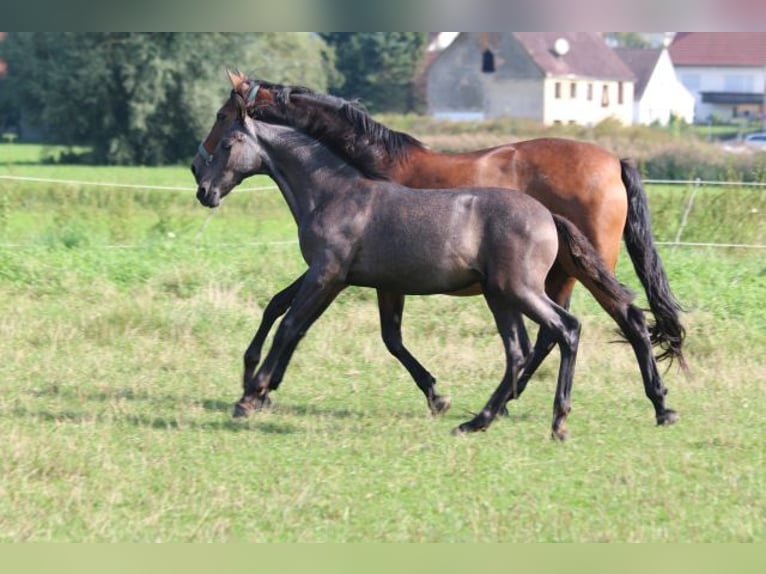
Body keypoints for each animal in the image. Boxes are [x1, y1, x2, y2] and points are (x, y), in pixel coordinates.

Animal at [192, 72, 684, 430]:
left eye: (223, 116)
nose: (199, 177)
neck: (352, 177)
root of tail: (615, 161)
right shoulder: (359, 278)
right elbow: (287, 310)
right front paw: (257, 379)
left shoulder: (334, 274)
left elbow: (301, 323)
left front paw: (255, 388)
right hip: (541, 281)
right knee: (551, 336)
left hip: (560, 276)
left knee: (607, 322)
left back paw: (655, 405)